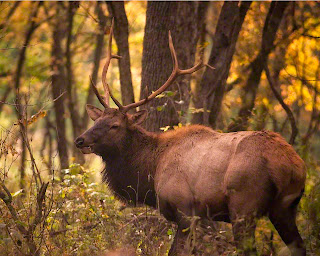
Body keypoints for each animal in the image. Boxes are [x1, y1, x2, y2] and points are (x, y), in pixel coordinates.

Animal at [74, 20, 306, 256]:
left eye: (115, 125)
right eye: (96, 120)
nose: (80, 140)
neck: (151, 170)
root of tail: (292, 165)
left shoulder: (185, 210)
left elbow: (175, 251)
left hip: (244, 205)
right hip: (285, 207)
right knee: (299, 246)